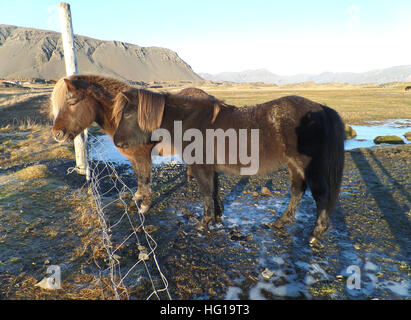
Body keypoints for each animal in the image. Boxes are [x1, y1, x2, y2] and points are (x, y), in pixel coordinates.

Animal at [49, 74, 212, 211]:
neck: (122, 117)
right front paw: (138, 196)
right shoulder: (133, 157)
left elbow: (145, 178)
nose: (57, 134)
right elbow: (138, 176)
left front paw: (145, 206)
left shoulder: (143, 156)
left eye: (72, 102)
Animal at [113, 87, 348, 242]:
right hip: (294, 165)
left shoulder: (201, 167)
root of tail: (322, 108)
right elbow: (214, 191)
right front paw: (216, 218)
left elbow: (206, 193)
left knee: (321, 196)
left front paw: (203, 223)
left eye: (128, 113)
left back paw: (315, 233)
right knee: (297, 191)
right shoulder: (211, 168)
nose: (116, 142)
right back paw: (281, 222)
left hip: (309, 167)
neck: (190, 121)